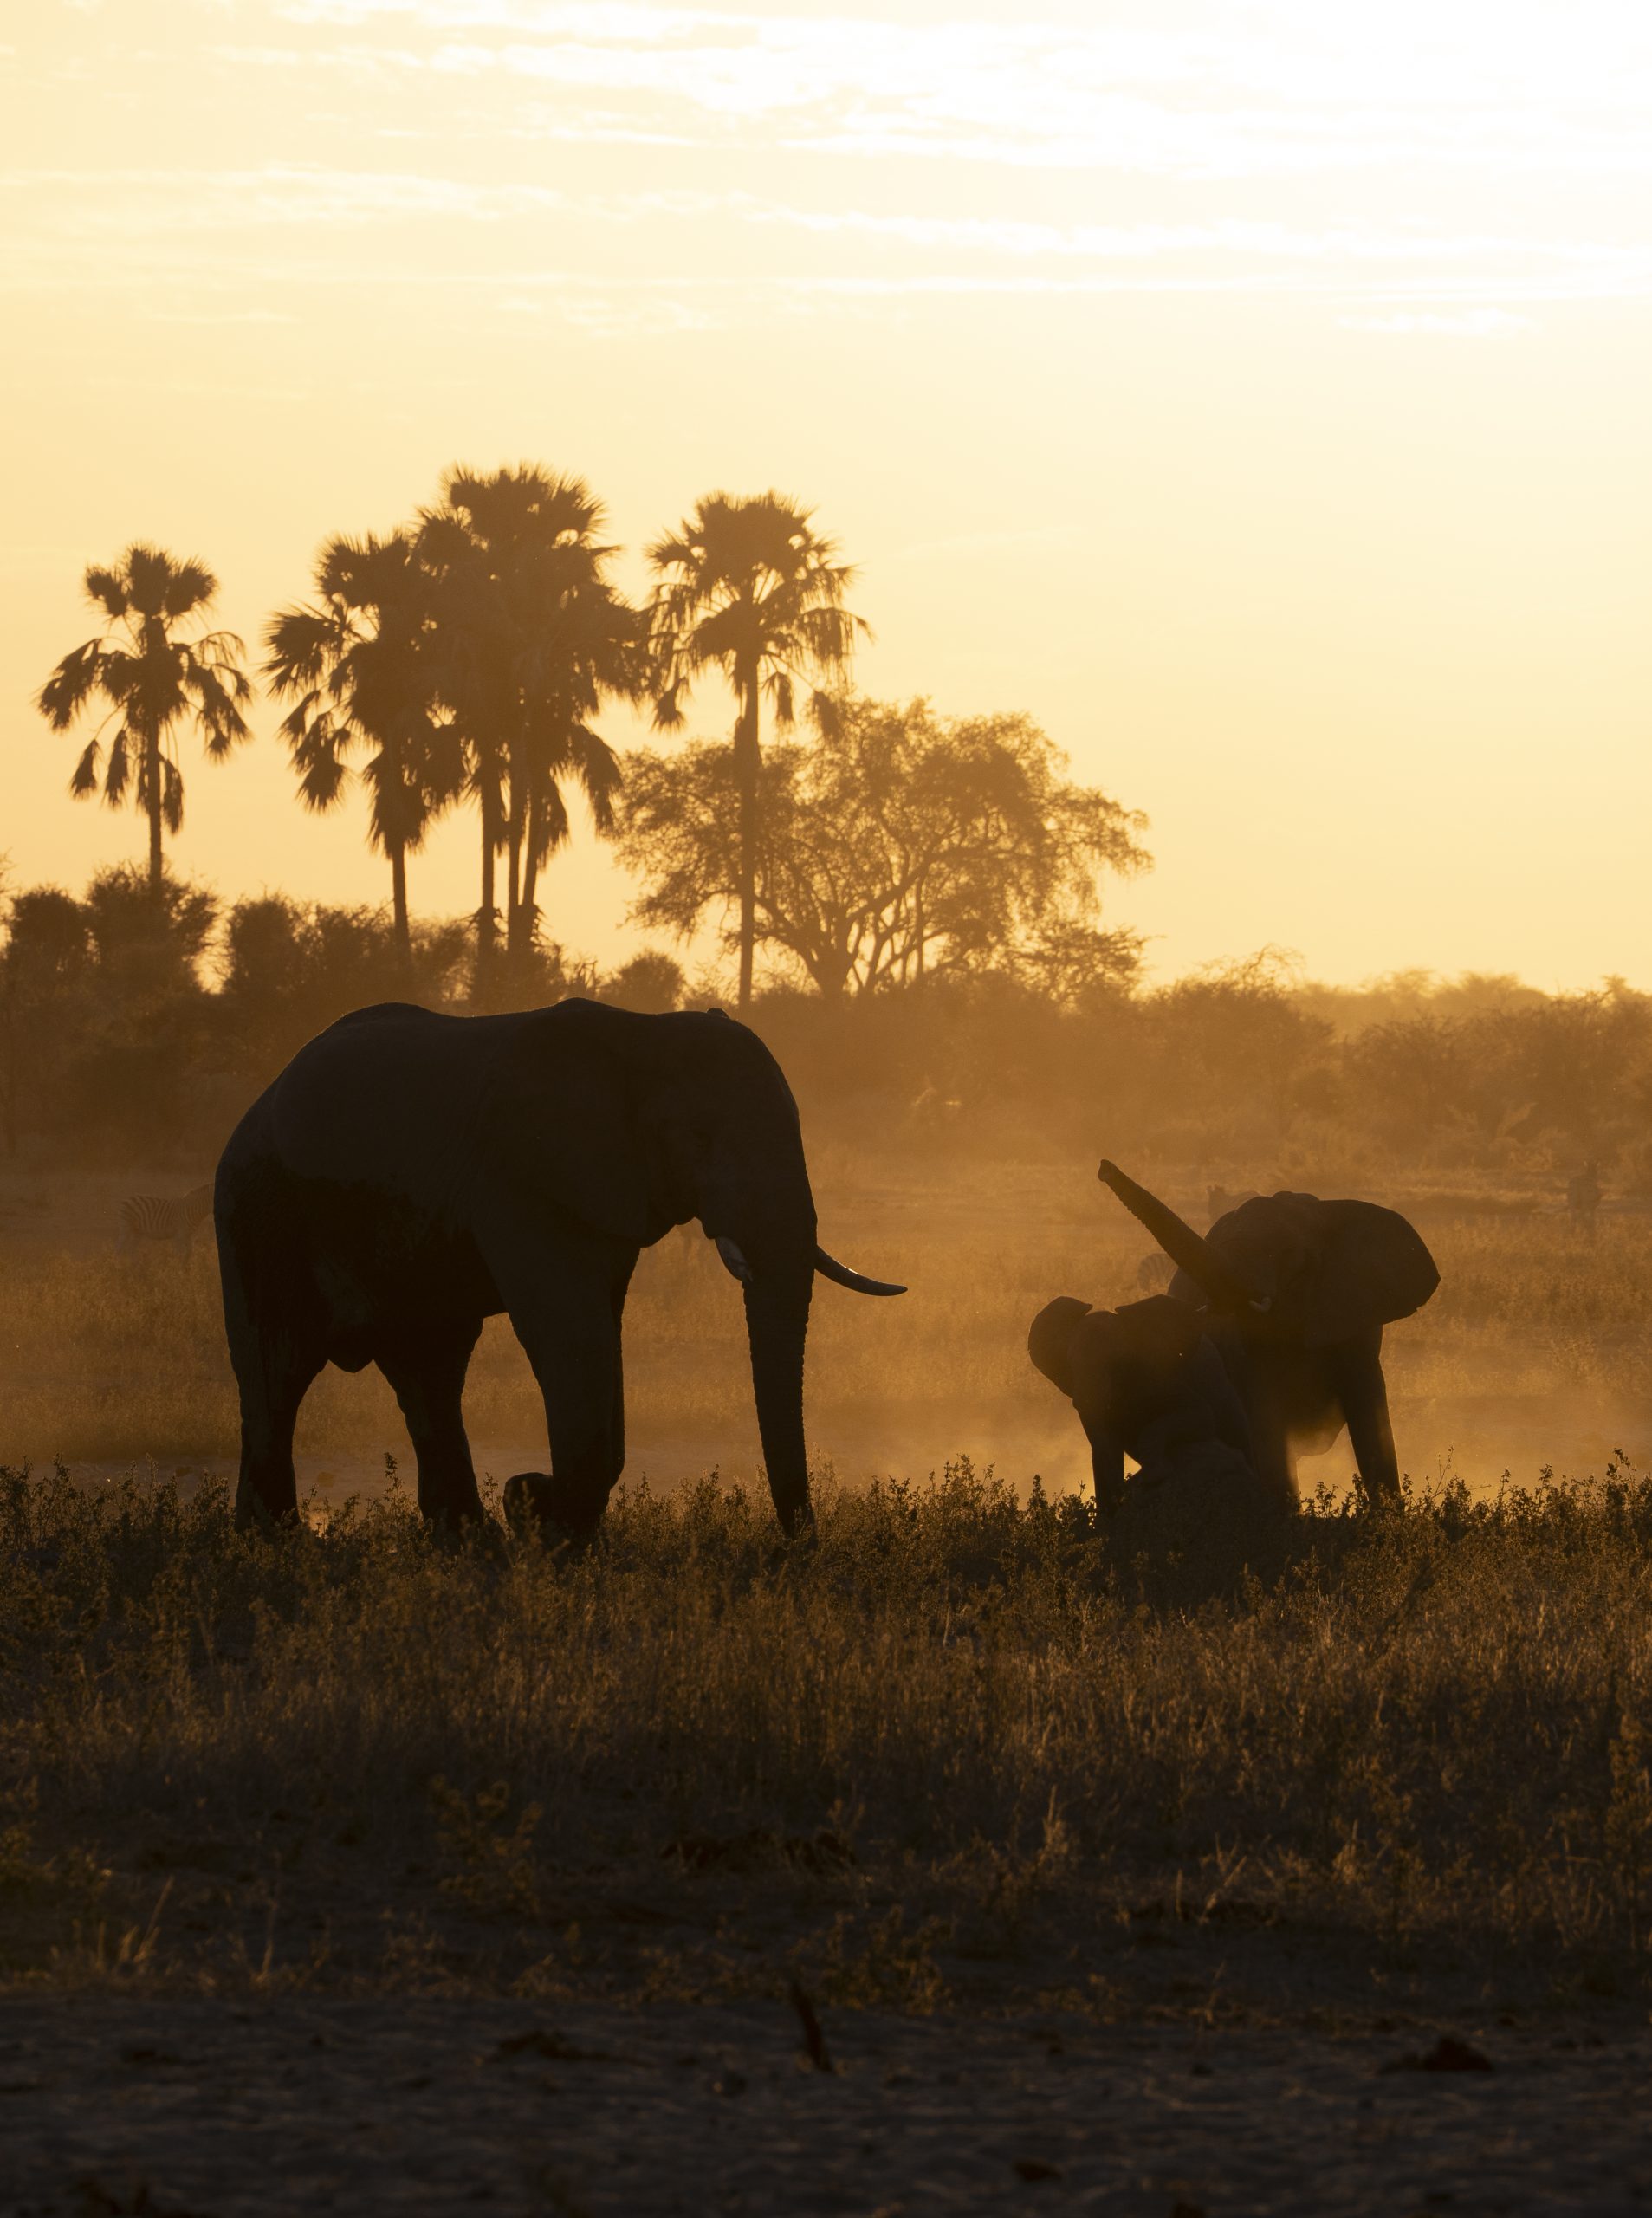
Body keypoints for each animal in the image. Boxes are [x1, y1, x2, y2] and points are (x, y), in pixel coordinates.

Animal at [214, 998, 904, 1542]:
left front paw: (548, 1523)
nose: (800, 1547)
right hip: (257, 1208)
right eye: (699, 1137)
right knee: (277, 1367)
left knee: (429, 1368)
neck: (642, 1035)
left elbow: (600, 1323)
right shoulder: (522, 1179)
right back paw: (274, 1542)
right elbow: (568, 1329)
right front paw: (548, 1526)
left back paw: (466, 1540)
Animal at [1094, 1161, 1439, 1507]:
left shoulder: (1356, 1316)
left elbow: (1371, 1417)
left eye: (1293, 1262)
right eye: (1220, 1242)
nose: (1103, 1168)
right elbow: (1267, 1412)